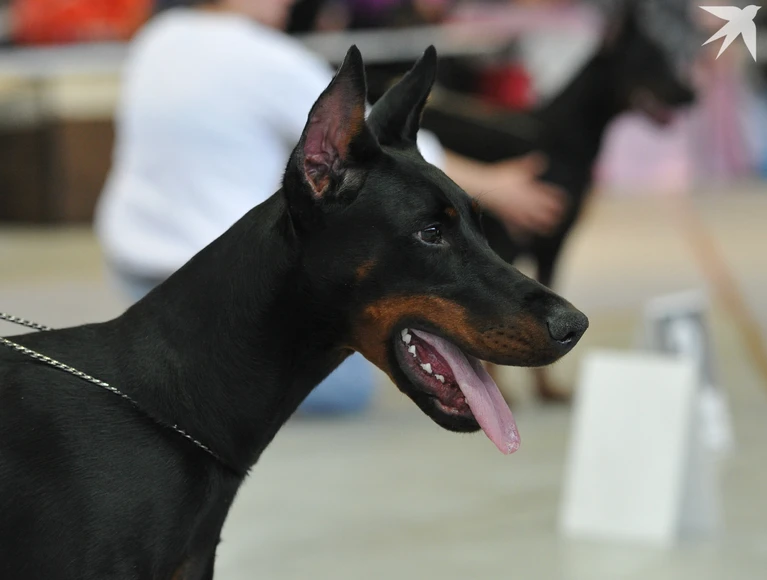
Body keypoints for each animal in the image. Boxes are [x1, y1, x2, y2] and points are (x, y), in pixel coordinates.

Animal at [420, 5, 695, 400]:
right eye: (651, 59)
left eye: (671, 56)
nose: (693, 94)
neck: (560, 139)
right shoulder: (520, 241)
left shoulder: (544, 244)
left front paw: (547, 389)